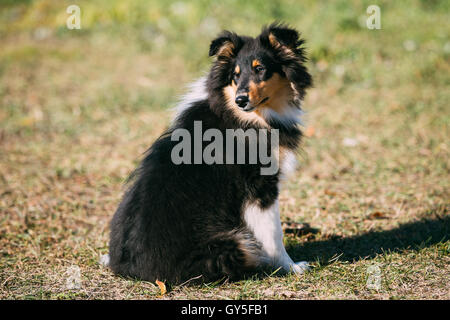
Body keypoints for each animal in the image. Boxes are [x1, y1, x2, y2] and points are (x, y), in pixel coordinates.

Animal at [107, 23, 312, 286]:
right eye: (235, 75)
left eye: (261, 69)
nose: (240, 100)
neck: (249, 117)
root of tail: (134, 271)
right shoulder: (260, 186)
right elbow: (274, 232)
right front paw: (292, 267)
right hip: (233, 243)